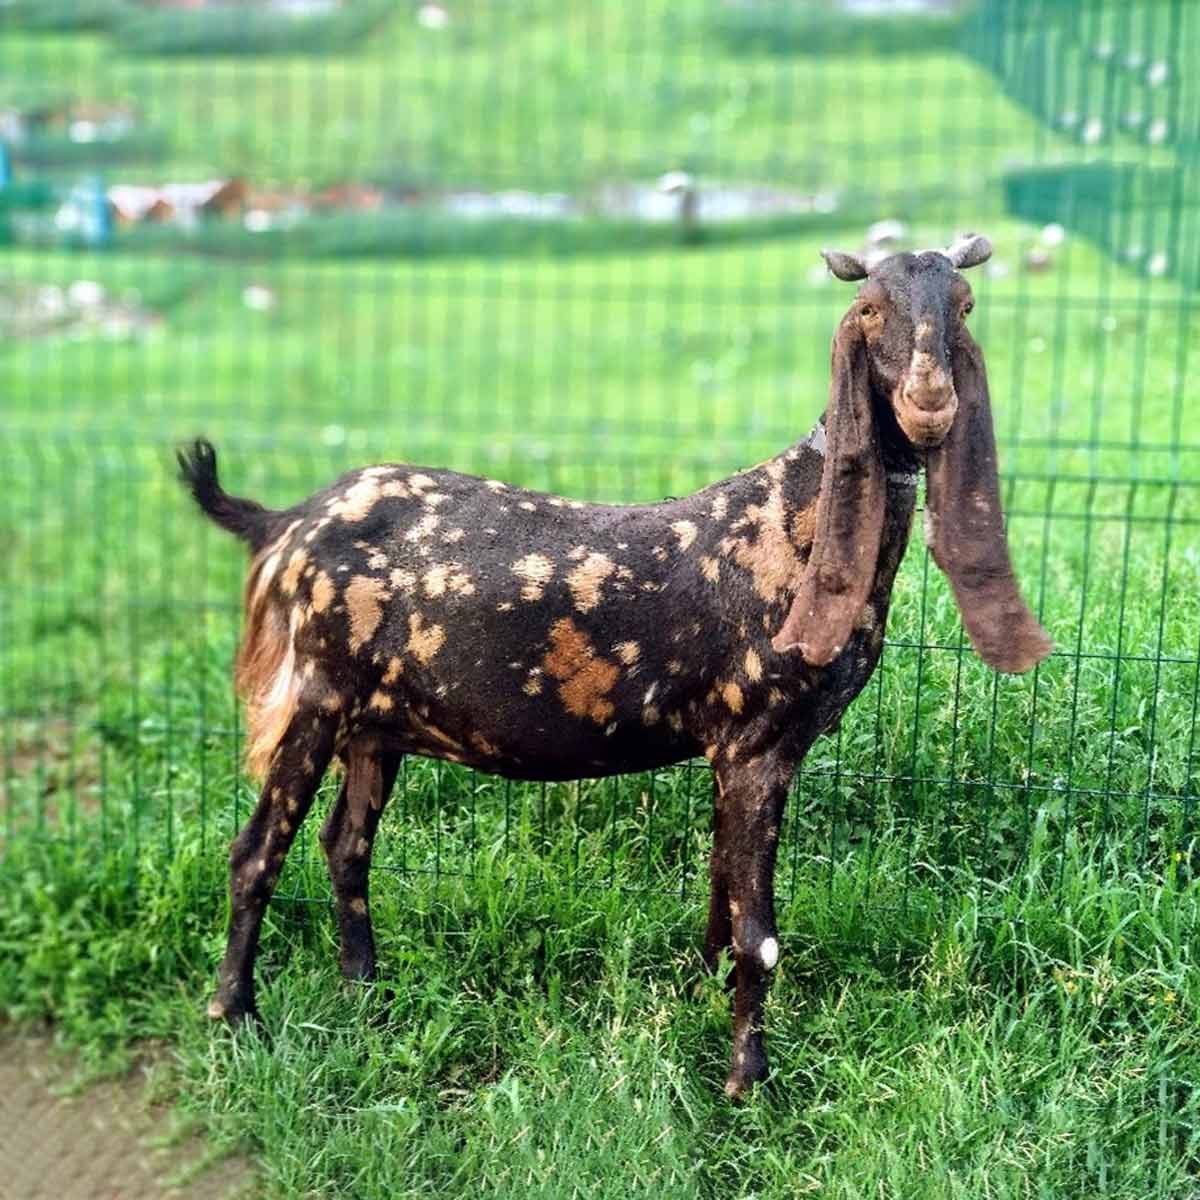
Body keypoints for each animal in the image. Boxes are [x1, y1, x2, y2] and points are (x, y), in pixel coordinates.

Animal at [179, 234, 1051, 1098]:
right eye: (868, 308)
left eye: (965, 306)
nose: (930, 403)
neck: (793, 531)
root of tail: (285, 524)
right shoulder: (758, 741)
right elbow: (759, 932)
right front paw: (748, 1084)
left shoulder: (736, 749)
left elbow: (720, 886)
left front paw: (702, 992)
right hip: (314, 694)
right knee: (256, 851)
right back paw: (238, 1015)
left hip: (375, 724)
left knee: (345, 845)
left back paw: (367, 991)